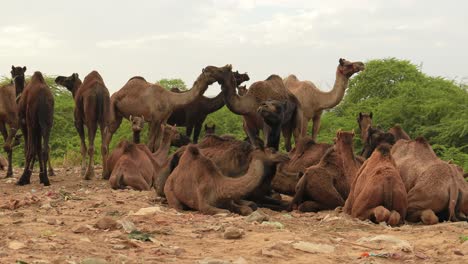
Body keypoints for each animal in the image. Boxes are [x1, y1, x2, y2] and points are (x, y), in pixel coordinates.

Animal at [103, 64, 232, 158]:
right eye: (212, 71)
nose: (226, 68)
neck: (171, 99)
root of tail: (116, 93)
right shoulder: (154, 119)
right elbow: (150, 143)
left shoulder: (163, 120)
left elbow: (157, 144)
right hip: (112, 107)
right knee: (108, 135)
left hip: (119, 114)